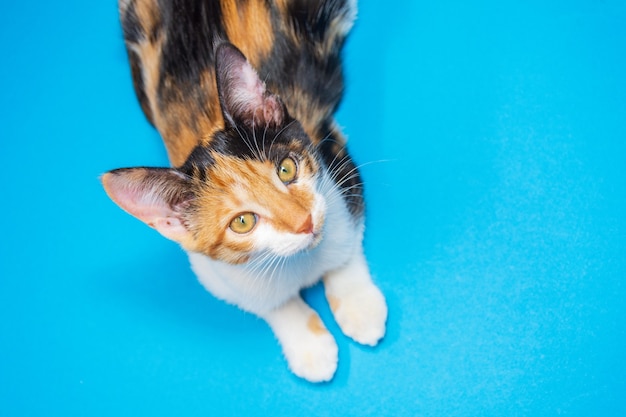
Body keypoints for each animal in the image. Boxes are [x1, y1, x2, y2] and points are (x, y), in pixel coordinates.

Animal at [102, 0, 386, 384]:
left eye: (286, 169)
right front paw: (310, 348)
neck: (297, 262)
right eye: (242, 222)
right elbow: (264, 302)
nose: (305, 223)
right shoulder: (212, 274)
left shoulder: (337, 164)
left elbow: (345, 245)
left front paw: (360, 308)